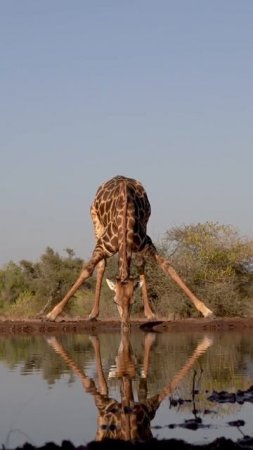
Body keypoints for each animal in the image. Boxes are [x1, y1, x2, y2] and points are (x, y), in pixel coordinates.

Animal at [46, 174, 213, 326]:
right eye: (115, 301)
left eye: (132, 301)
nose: (125, 322)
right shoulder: (102, 246)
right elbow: (87, 270)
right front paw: (52, 313)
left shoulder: (146, 242)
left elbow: (167, 266)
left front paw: (206, 310)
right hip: (96, 223)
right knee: (102, 265)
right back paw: (93, 314)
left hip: (144, 226)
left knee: (140, 264)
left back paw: (149, 313)